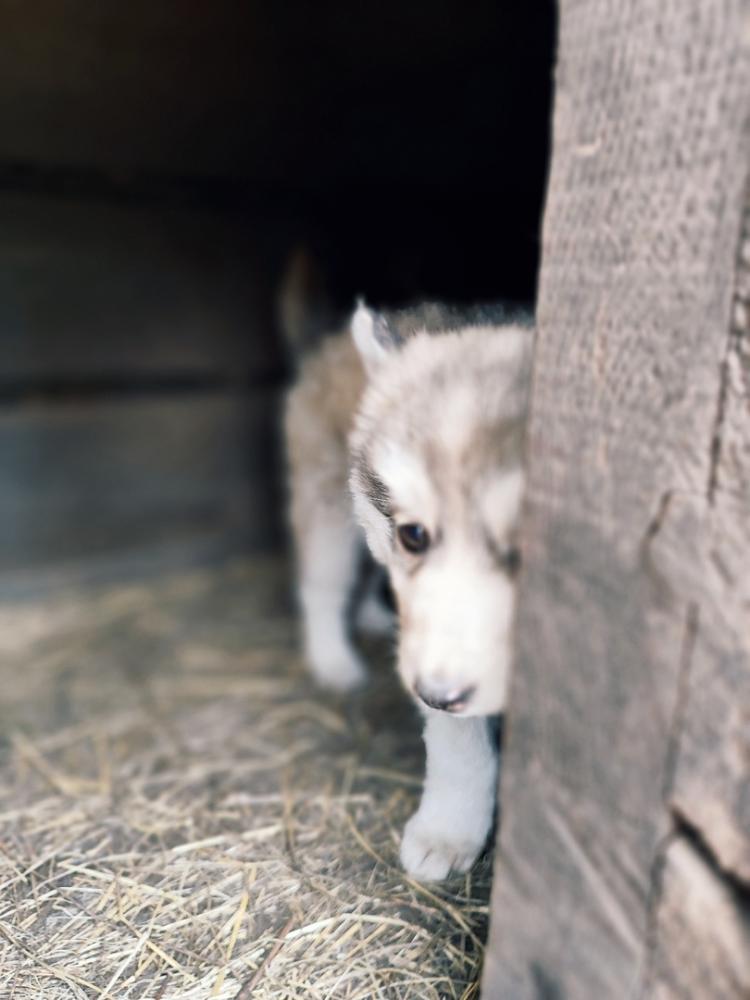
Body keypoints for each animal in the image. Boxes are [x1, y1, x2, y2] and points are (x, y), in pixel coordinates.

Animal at [283, 253, 533, 878]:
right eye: (414, 534)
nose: (435, 693)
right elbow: (459, 742)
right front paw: (449, 831)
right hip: (327, 506)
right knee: (322, 587)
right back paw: (334, 660)